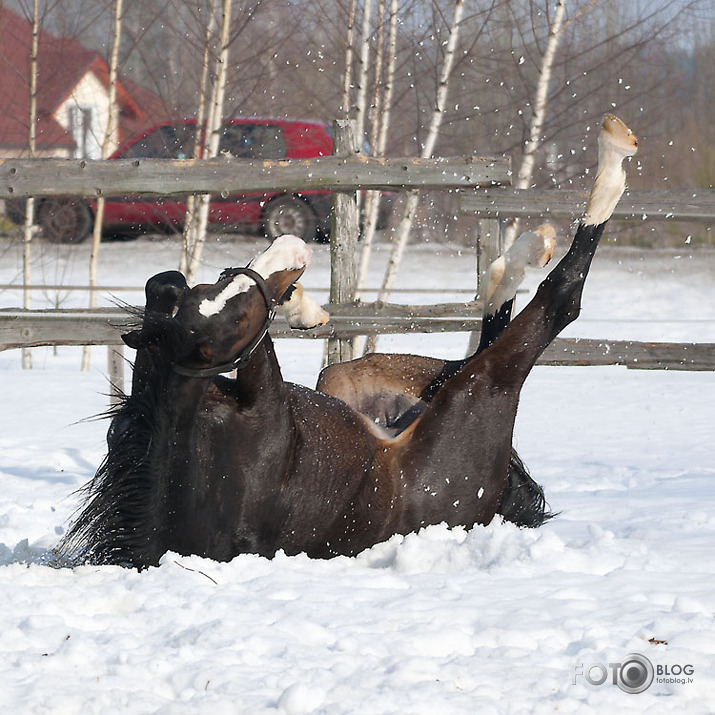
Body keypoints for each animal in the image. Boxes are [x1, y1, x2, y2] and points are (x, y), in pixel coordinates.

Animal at [60, 114, 636, 568]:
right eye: (234, 315)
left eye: (220, 295)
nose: (291, 247)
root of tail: (491, 505)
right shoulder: (257, 393)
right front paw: (293, 291)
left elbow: (176, 286)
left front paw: (296, 299)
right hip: (478, 389)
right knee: (552, 306)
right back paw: (605, 167)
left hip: (354, 379)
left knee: (488, 328)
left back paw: (521, 251)